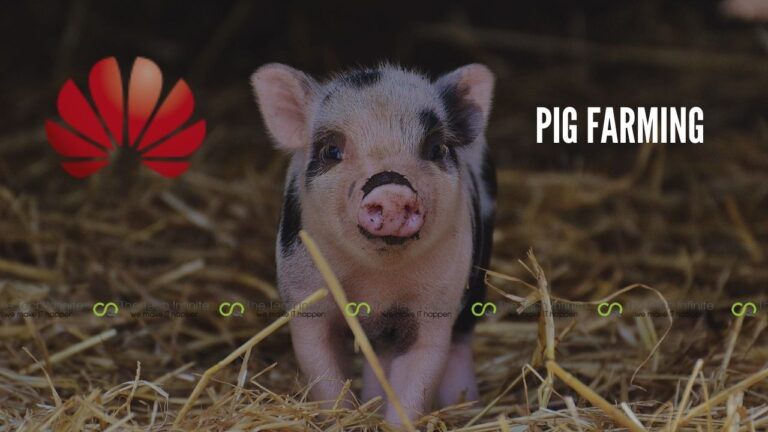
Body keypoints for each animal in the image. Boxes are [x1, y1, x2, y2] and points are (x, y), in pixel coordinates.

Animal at [251, 63, 496, 424]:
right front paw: (345, 419)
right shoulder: (306, 298)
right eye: (331, 150)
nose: (392, 190)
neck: (377, 283)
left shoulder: (435, 307)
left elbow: (418, 376)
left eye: (436, 148)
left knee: (459, 342)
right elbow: (323, 372)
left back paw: (466, 408)